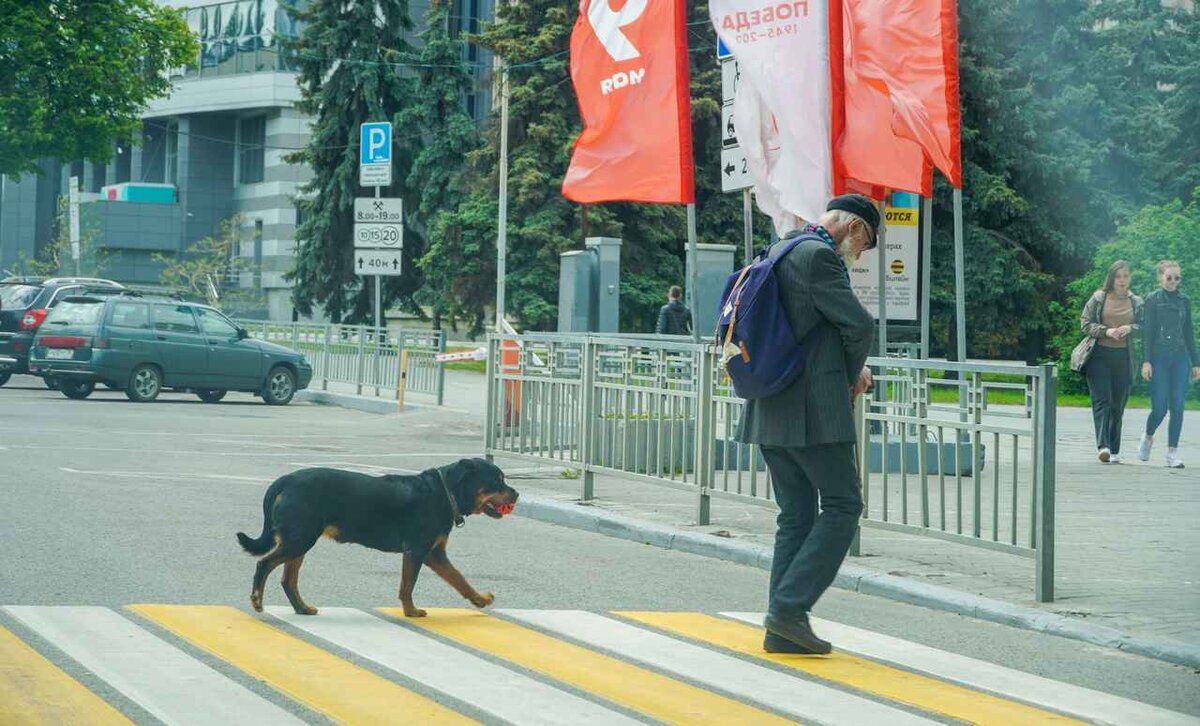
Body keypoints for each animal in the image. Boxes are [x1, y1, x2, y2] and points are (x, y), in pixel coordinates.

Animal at [234, 456, 516, 614]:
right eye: (497, 480)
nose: (516, 493)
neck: (445, 492)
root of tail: (284, 480)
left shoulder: (435, 554)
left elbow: (459, 579)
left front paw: (479, 599)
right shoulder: (417, 551)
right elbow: (408, 585)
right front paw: (411, 611)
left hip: (299, 541)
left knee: (288, 580)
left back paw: (302, 608)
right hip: (299, 539)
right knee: (264, 564)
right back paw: (257, 600)